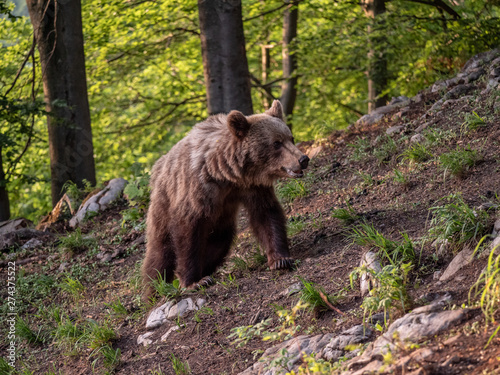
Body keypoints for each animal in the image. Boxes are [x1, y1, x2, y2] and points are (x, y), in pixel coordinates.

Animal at [141, 100, 310, 300]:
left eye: (290, 137)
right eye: (276, 143)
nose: (303, 159)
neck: (226, 173)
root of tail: (159, 165)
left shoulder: (253, 187)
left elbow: (266, 215)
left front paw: (280, 259)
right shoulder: (197, 190)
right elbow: (187, 234)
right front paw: (193, 282)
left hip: (220, 220)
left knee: (220, 240)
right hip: (163, 205)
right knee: (160, 252)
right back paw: (155, 289)